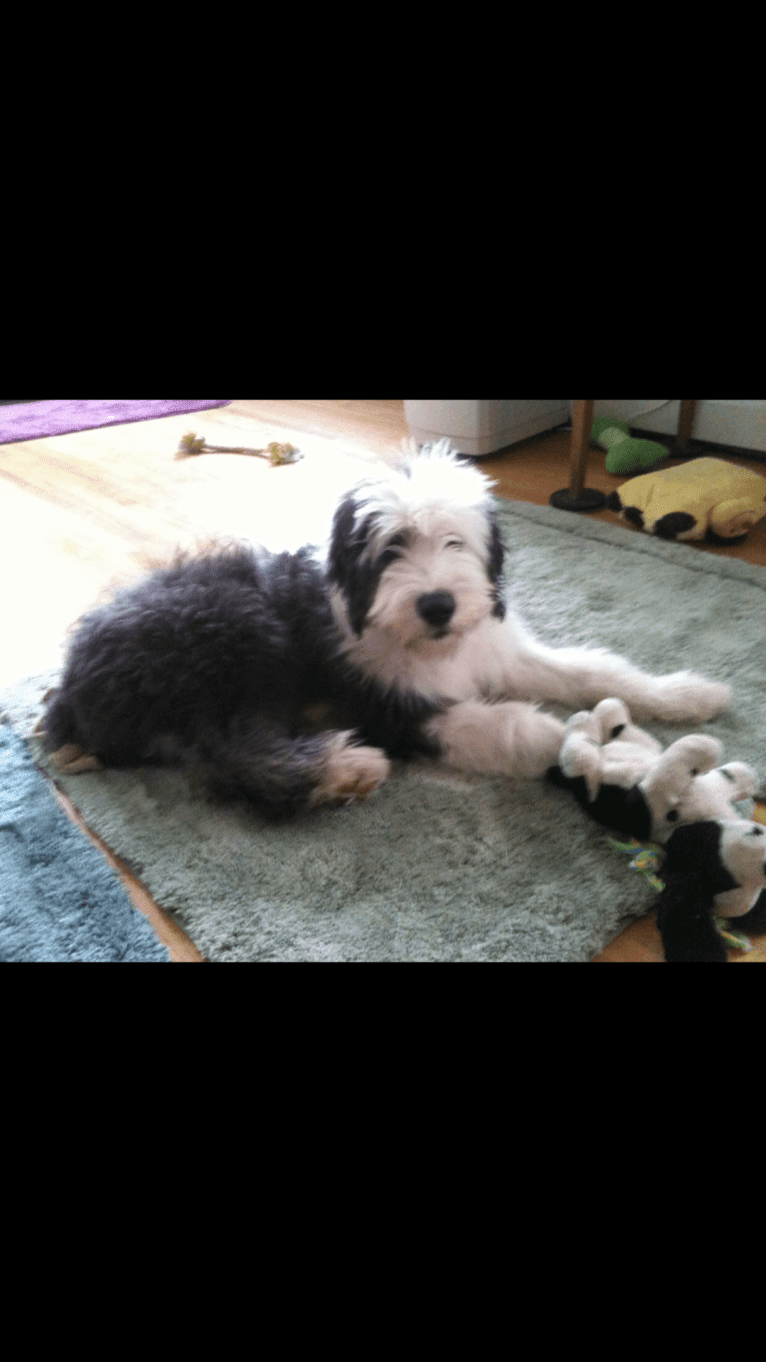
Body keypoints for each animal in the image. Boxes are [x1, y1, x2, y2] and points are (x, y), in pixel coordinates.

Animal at [40, 441, 725, 811]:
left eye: (454, 541)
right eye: (390, 548)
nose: (438, 604)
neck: (428, 644)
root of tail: (71, 688)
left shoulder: (496, 651)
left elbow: (593, 669)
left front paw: (687, 694)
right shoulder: (379, 703)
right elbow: (503, 725)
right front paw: (594, 753)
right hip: (235, 633)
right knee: (230, 755)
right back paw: (344, 770)